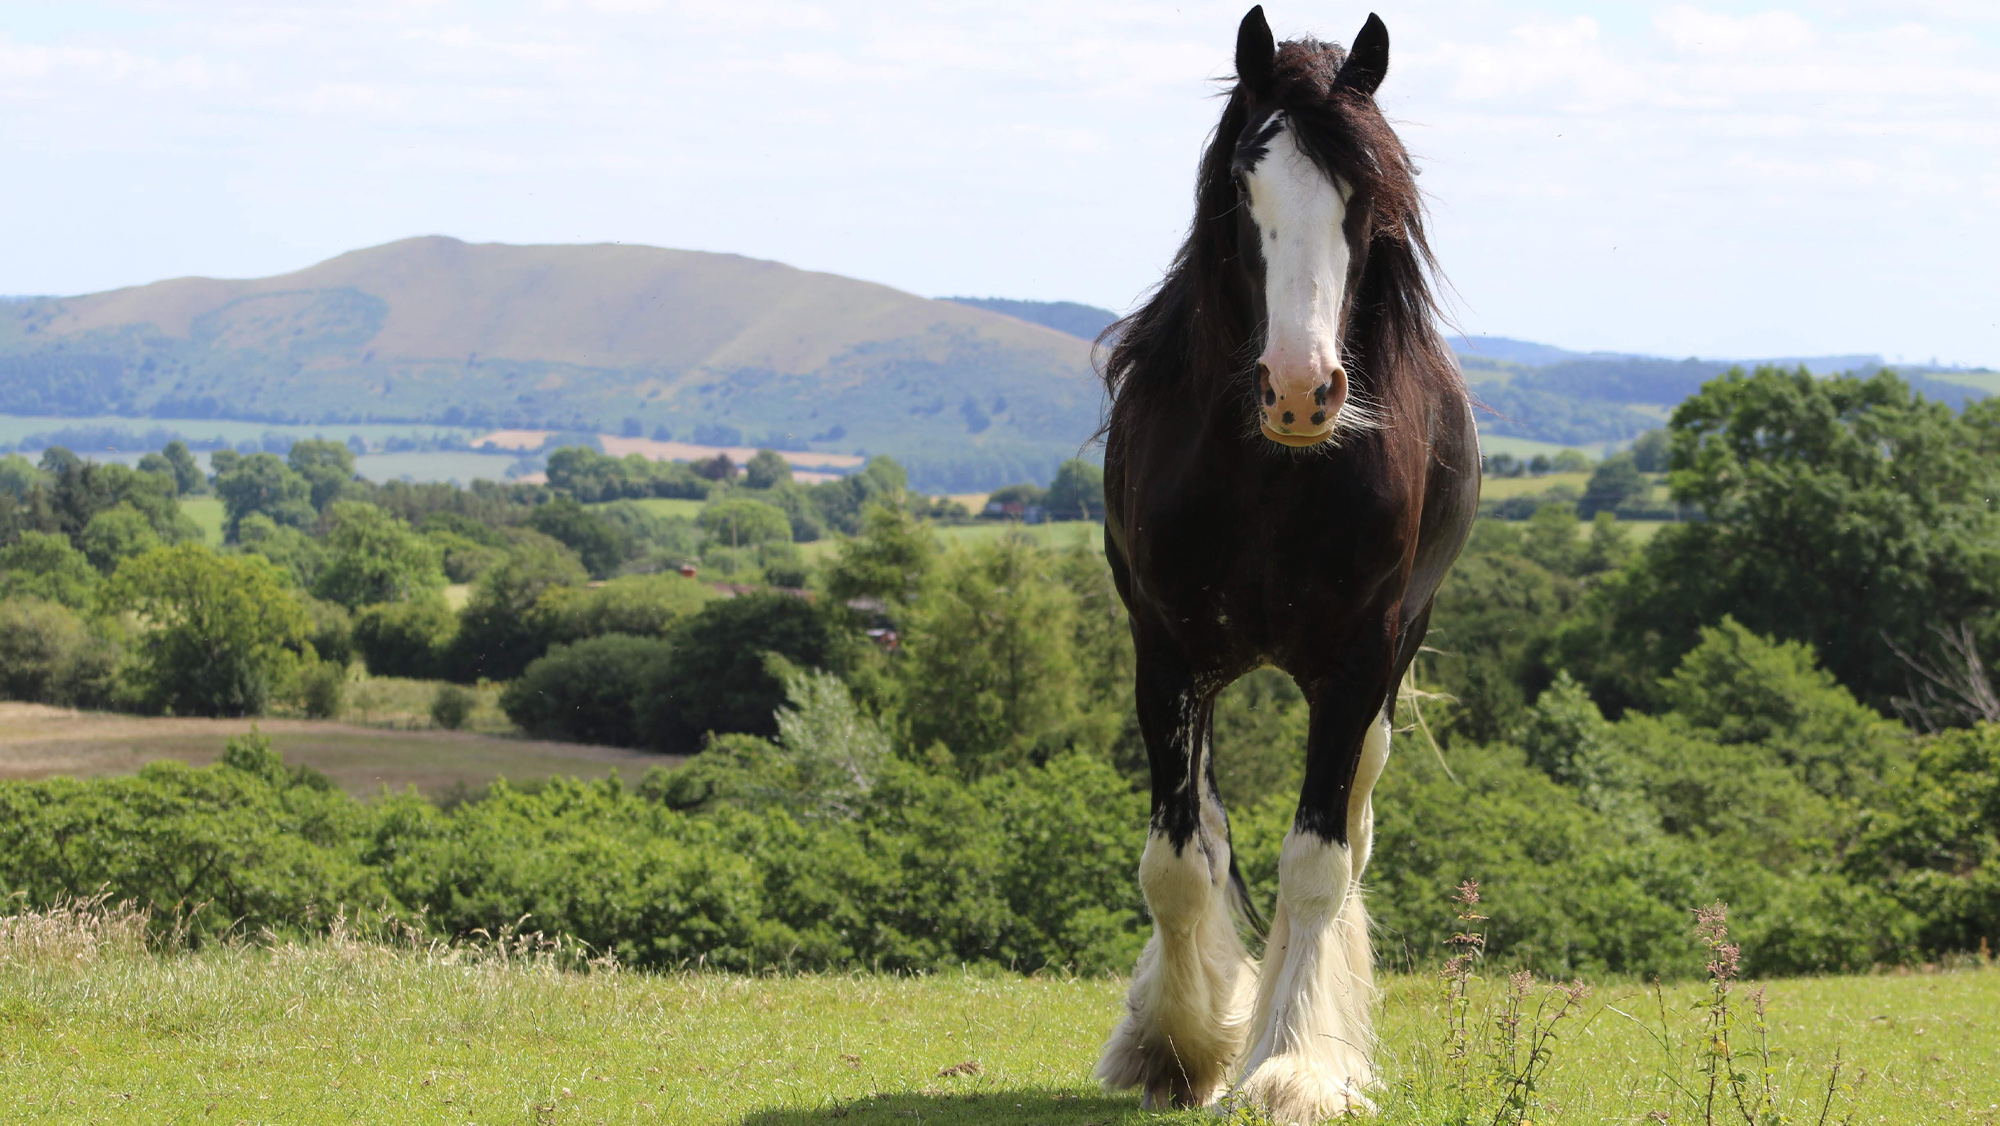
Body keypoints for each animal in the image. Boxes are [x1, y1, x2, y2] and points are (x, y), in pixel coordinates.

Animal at [1093, 8, 1479, 1122]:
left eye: (1368, 196)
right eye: (1240, 184)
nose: (1301, 392)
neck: (1270, 477)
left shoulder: (1356, 665)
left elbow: (1315, 862)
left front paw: (1294, 1063)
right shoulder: (1167, 656)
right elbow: (1179, 862)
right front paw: (1175, 1045)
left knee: (1348, 833)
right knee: (1211, 828)